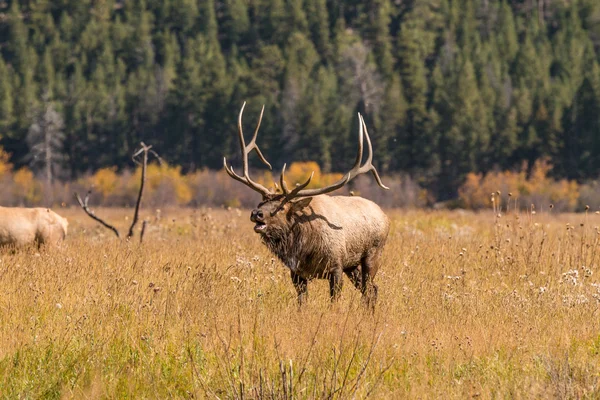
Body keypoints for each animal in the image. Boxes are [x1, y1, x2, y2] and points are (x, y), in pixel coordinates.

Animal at [224, 101, 390, 308]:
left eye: (282, 207)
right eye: (261, 202)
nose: (256, 214)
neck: (305, 247)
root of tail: (385, 216)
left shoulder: (336, 265)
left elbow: (334, 302)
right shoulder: (297, 272)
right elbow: (301, 303)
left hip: (373, 254)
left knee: (370, 287)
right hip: (352, 265)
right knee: (372, 289)